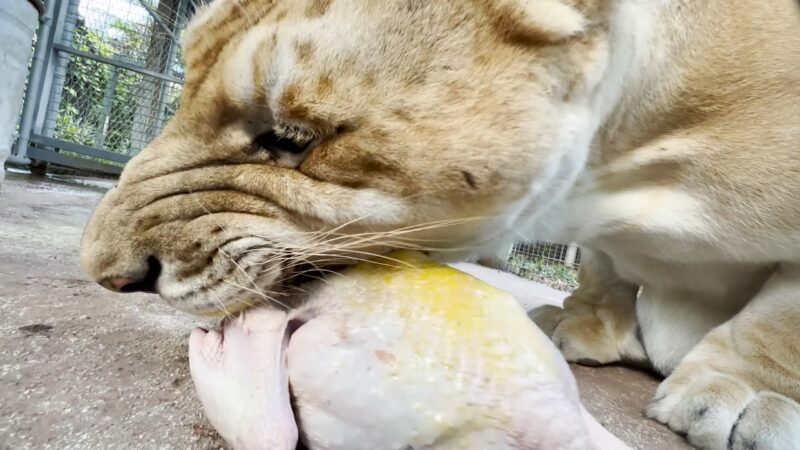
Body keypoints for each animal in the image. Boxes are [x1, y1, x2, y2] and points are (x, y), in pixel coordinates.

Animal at [76, 1, 800, 448]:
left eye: (290, 139)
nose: (104, 275)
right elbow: (603, 267)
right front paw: (584, 321)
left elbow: (777, 322)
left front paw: (733, 395)